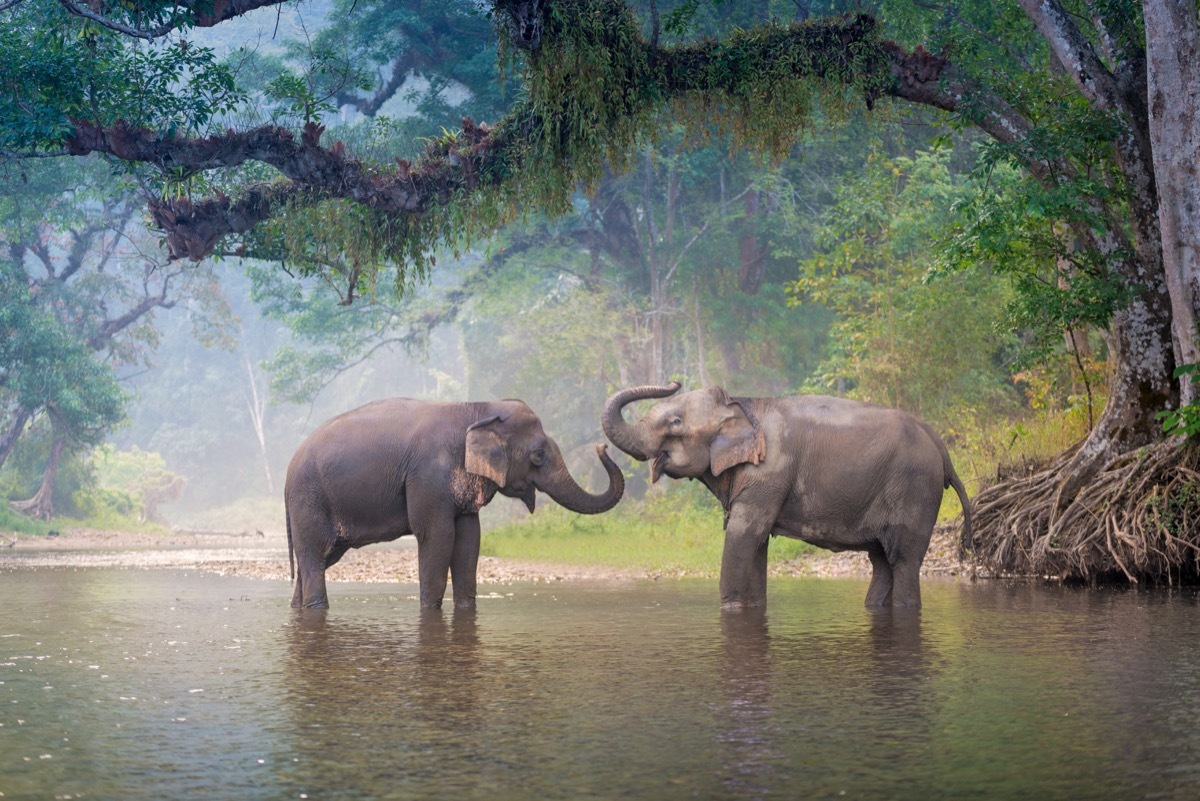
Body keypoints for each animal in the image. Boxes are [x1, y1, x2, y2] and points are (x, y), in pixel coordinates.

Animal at [285, 397, 624, 610]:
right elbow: (437, 536)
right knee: (315, 555)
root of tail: (288, 469)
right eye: (538, 455)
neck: (476, 409)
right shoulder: (428, 475)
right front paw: (430, 611)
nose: (602, 446)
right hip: (309, 499)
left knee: (319, 559)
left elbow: (469, 540)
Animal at [602, 383, 970, 609]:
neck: (742, 404)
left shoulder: (769, 472)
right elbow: (756, 543)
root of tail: (941, 447)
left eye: (676, 422)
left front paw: (730, 608)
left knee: (903, 560)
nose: (674, 380)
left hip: (914, 488)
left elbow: (743, 535)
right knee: (881, 561)